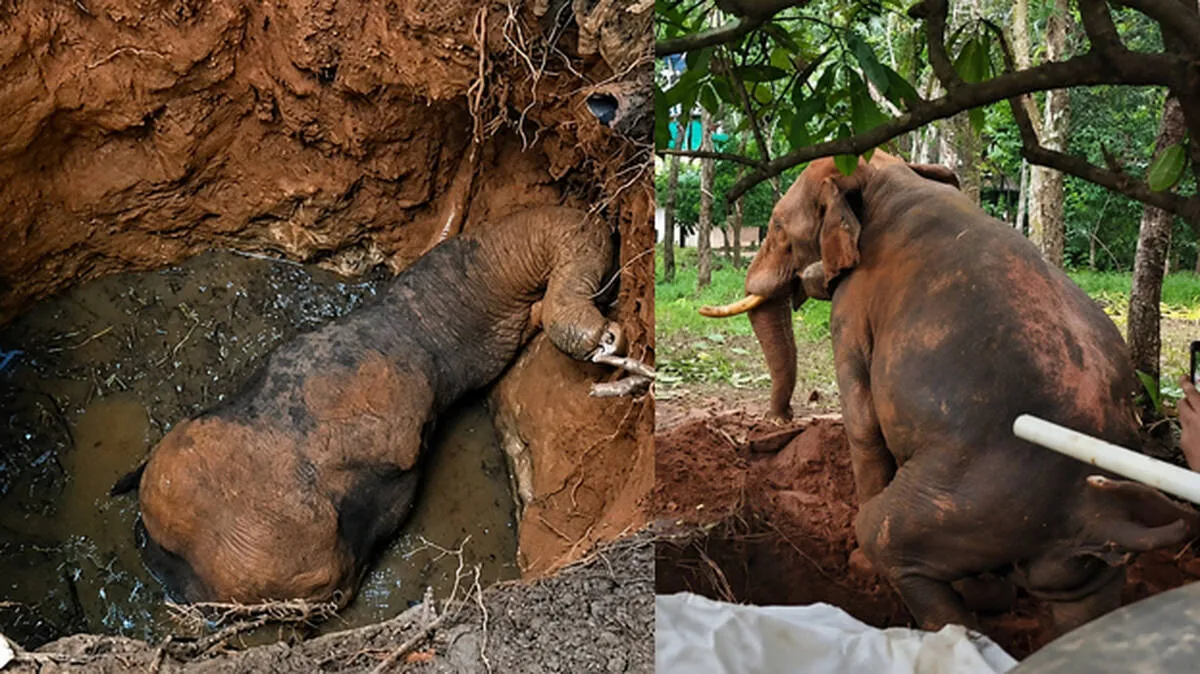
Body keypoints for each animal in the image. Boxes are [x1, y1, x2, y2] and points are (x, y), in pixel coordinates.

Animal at [702, 151, 1200, 635]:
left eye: (777, 228)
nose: (781, 416)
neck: (888, 177)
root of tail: (1091, 508)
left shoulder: (852, 308)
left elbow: (862, 422)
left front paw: (858, 559)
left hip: (967, 500)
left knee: (892, 544)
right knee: (1084, 607)